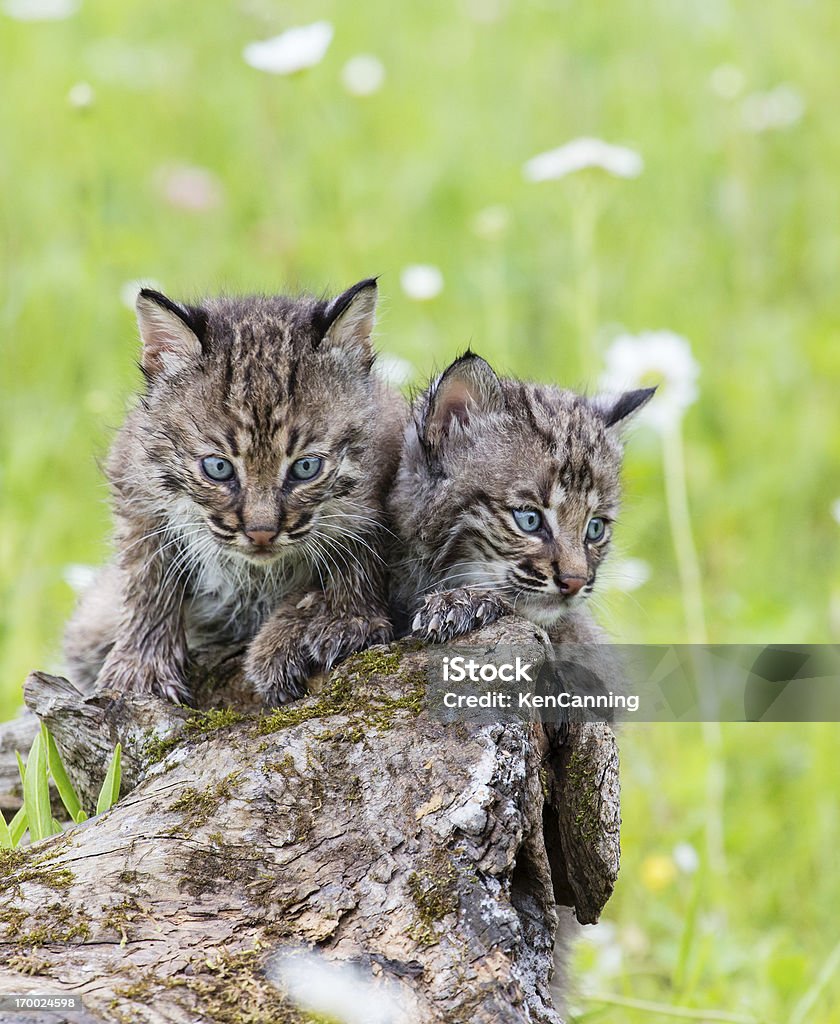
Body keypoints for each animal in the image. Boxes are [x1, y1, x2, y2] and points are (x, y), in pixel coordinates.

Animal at [65, 278, 407, 704]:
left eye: (306, 468)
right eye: (218, 468)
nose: (261, 533)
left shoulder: (381, 478)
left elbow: (355, 554)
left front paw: (336, 619)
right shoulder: (135, 487)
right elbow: (147, 575)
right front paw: (141, 667)